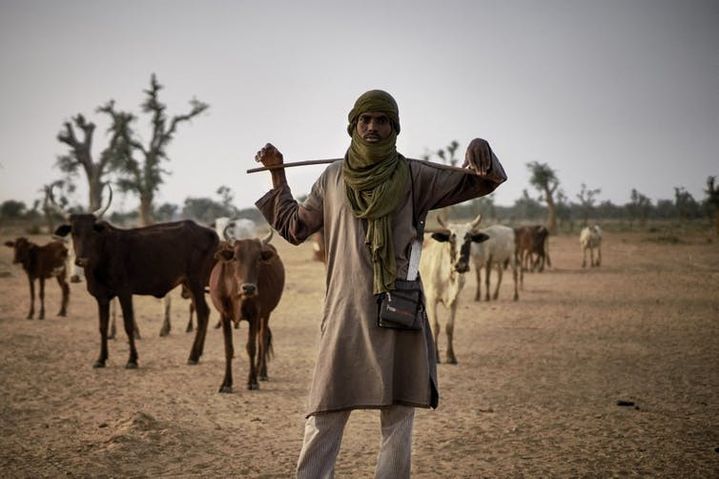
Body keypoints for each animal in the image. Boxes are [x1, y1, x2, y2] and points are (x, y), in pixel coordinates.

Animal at [52, 186, 218, 370]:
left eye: (92, 232)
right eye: (74, 233)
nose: (82, 260)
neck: (102, 253)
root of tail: (208, 231)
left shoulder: (124, 292)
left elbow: (128, 324)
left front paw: (132, 359)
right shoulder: (101, 297)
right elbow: (102, 327)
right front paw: (101, 359)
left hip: (196, 282)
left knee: (202, 314)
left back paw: (193, 356)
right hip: (190, 284)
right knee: (205, 312)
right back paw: (198, 353)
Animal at [208, 230, 284, 394]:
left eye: (258, 258)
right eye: (235, 258)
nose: (248, 288)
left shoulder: (255, 315)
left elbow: (251, 347)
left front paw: (252, 381)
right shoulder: (223, 316)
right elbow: (228, 348)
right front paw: (226, 383)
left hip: (266, 314)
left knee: (262, 338)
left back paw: (261, 372)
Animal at [420, 216, 492, 366]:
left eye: (469, 239)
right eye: (451, 239)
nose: (461, 265)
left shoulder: (456, 300)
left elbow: (449, 327)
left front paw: (451, 356)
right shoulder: (431, 299)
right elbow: (435, 326)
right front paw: (436, 356)